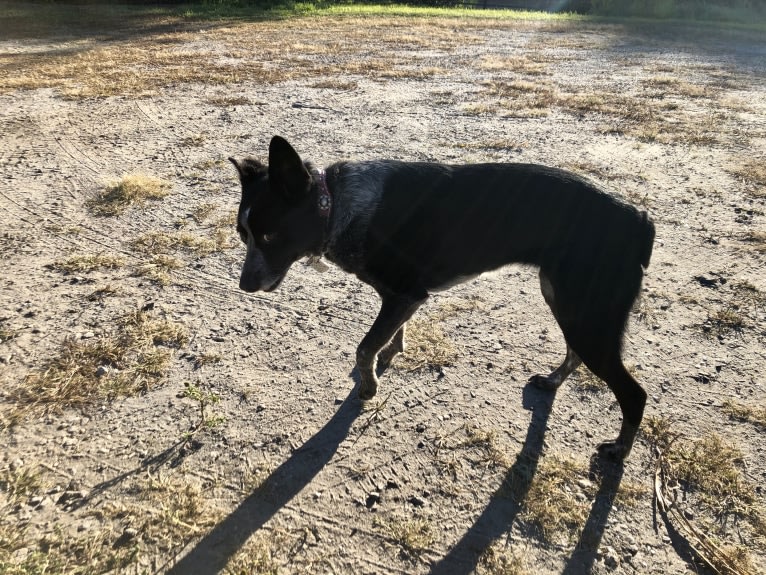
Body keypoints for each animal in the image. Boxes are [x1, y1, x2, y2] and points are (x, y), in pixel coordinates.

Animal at [231, 135, 656, 460]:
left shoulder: (406, 294)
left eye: (269, 235)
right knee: (574, 353)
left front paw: (369, 387)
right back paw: (553, 381)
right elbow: (389, 337)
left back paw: (619, 449)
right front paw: (392, 353)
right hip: (564, 301)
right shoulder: (401, 298)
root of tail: (638, 219)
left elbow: (364, 348)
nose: (244, 287)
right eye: (242, 234)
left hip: (585, 314)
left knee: (634, 394)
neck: (336, 205)